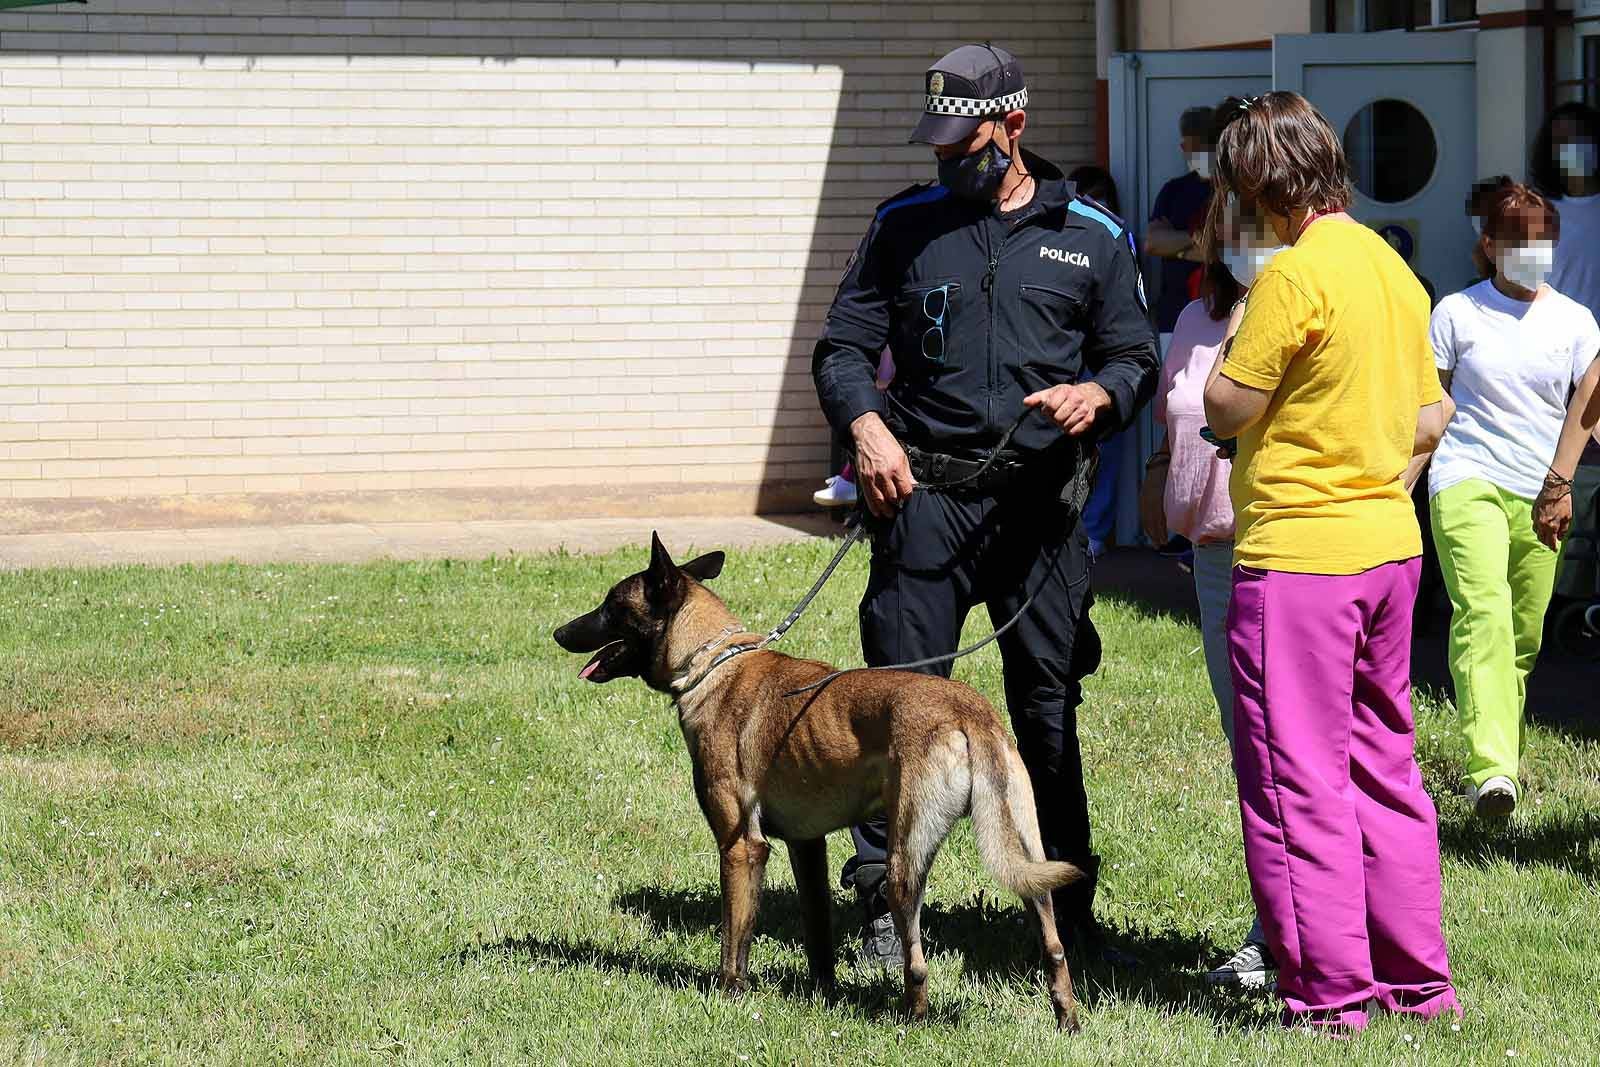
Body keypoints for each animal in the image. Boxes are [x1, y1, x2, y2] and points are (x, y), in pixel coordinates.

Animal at [553, 537, 1088, 1030]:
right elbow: (818, 933)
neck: (712, 663)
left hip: (903, 862)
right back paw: (1066, 1019)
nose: (559, 631)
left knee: (918, 964)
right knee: (1054, 944)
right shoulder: (806, 846)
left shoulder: (742, 847)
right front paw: (822, 992)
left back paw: (912, 1021)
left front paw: (729, 995)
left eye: (611, 606)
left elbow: (734, 938)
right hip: (1026, 854)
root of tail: (967, 711)